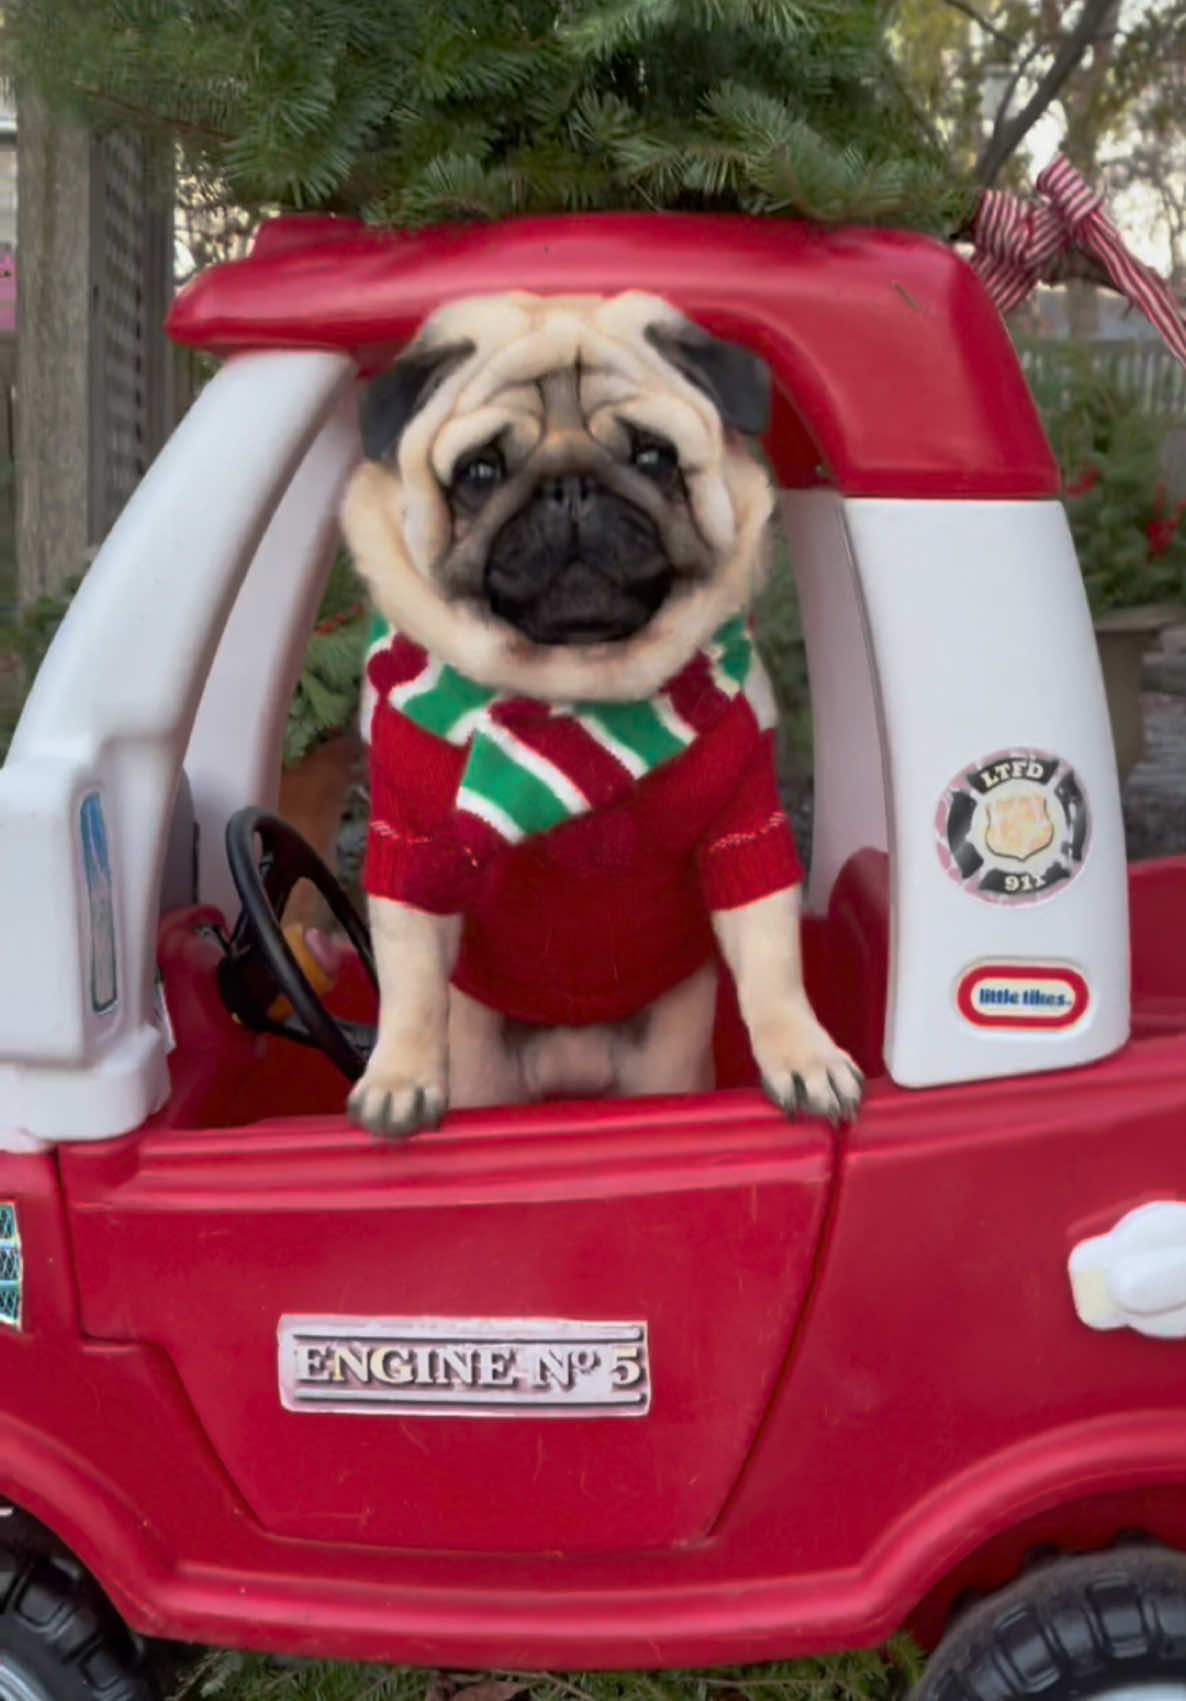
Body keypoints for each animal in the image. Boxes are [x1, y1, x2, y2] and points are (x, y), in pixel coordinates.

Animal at [335, 289, 860, 1143]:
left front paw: (805, 1055)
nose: (570, 487)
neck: (570, 698)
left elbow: (773, 958)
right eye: (479, 472)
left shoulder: (744, 827)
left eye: (653, 458)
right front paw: (398, 1076)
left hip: (667, 1062)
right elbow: (409, 977)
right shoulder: (411, 849)